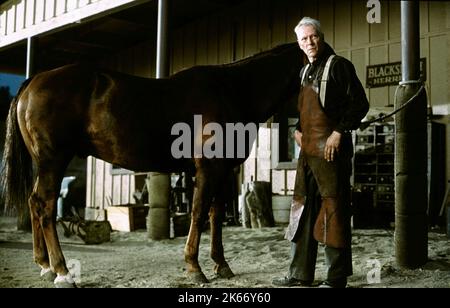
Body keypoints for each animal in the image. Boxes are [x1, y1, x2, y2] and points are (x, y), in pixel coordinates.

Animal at [0, 42, 302, 288]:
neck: (231, 91)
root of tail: (34, 81)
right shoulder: (208, 169)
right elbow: (198, 213)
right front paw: (195, 268)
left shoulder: (223, 171)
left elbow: (215, 215)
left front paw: (221, 265)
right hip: (53, 160)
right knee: (45, 205)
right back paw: (62, 271)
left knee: (34, 202)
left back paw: (45, 266)